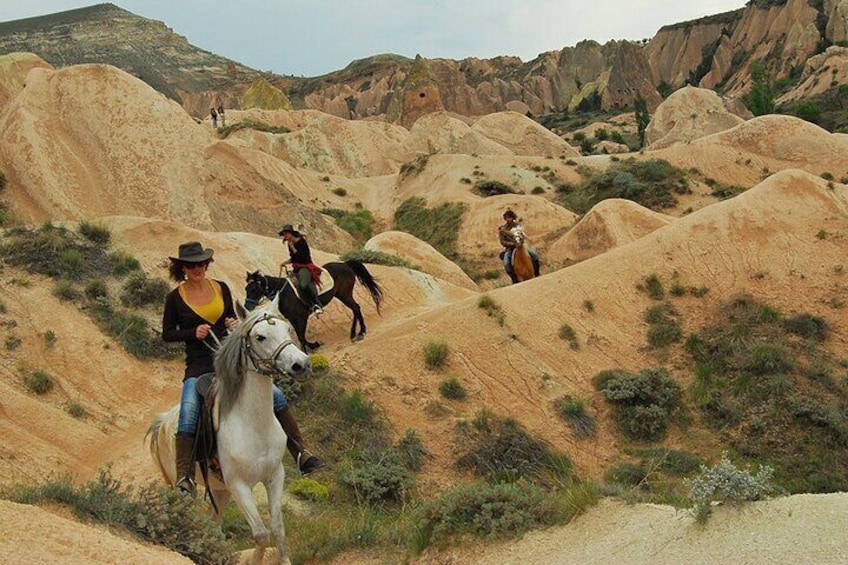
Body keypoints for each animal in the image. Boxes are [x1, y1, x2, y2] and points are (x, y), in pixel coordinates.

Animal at [147, 296, 310, 564]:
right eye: (260, 337)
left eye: (287, 329)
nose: (302, 364)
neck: (254, 425)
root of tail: (163, 422)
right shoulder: (239, 486)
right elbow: (261, 534)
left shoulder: (275, 476)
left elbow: (277, 528)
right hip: (186, 485)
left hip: (219, 490)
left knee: (214, 523)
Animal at [242, 258, 380, 348]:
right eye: (246, 289)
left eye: (253, 289)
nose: (247, 306)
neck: (284, 293)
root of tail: (345, 265)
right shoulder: (293, 319)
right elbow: (300, 336)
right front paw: (314, 345)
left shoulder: (302, 317)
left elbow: (301, 337)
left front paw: (307, 351)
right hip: (342, 295)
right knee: (355, 308)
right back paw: (354, 334)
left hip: (344, 294)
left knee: (356, 308)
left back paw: (360, 333)